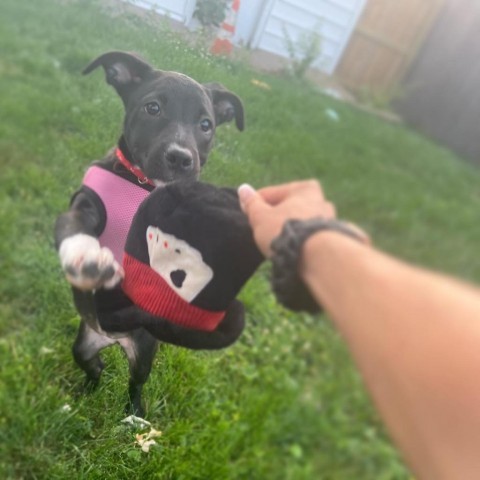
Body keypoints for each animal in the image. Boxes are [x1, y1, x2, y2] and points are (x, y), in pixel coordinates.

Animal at [54, 50, 244, 414]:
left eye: (206, 125)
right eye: (152, 108)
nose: (181, 159)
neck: (145, 186)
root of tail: (112, 340)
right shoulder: (86, 204)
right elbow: (73, 226)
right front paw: (86, 256)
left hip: (144, 353)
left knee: (135, 384)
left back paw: (134, 415)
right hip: (83, 342)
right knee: (93, 365)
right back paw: (84, 394)